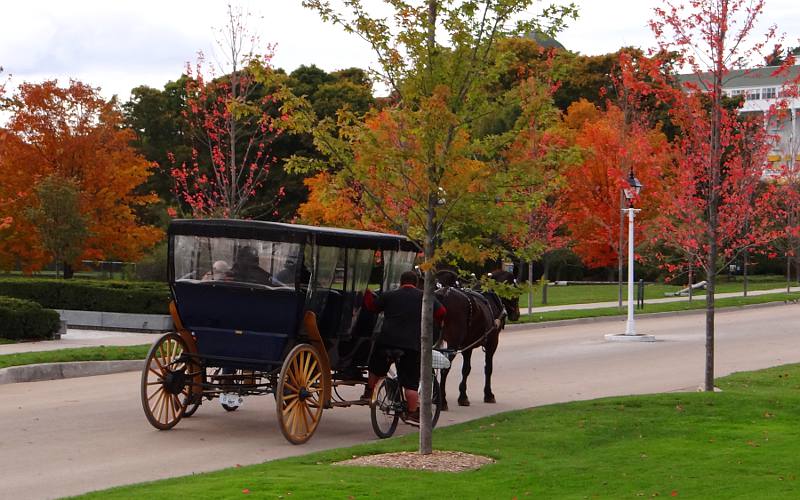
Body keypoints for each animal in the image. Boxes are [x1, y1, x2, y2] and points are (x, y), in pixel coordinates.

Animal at [434, 270, 520, 410]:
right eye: (515, 290)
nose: (516, 314)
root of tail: (443, 295)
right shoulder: (492, 342)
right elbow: (488, 368)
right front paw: (488, 394)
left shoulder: (467, 345)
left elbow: (466, 369)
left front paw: (463, 396)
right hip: (453, 344)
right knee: (444, 369)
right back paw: (442, 401)